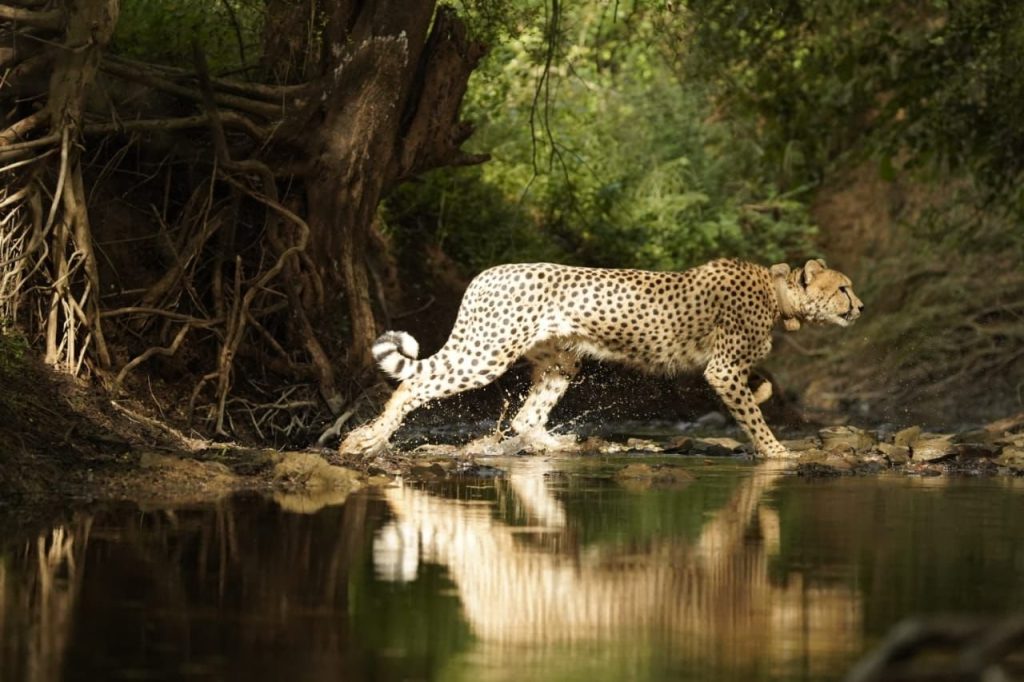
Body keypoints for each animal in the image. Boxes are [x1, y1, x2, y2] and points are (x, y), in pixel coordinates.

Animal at [339, 258, 863, 459]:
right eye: (843, 288)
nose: (860, 307)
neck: (779, 297)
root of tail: (487, 273)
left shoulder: (728, 369)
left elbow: (759, 393)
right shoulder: (722, 368)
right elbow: (752, 417)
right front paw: (777, 451)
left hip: (559, 361)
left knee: (527, 417)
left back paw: (562, 445)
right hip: (488, 351)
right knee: (413, 385)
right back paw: (366, 440)